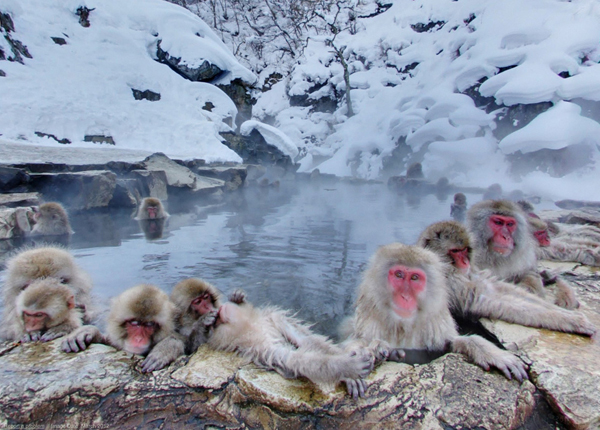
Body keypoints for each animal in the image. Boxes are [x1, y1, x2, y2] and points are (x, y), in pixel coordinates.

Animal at [209, 292, 372, 400]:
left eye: (218, 316)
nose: (219, 312)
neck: (251, 326)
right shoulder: (266, 348)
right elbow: (296, 360)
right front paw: (349, 368)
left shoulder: (273, 320)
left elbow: (305, 341)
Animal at [340, 244, 528, 382]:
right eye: (399, 275)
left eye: (415, 278)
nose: (405, 297)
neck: (402, 325)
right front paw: (358, 360)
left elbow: (449, 344)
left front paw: (491, 353)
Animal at [420, 220, 592, 338]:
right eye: (455, 251)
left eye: (465, 250)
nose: (465, 262)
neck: (448, 267)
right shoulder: (450, 282)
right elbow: (492, 301)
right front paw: (571, 321)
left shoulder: (470, 272)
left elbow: (498, 288)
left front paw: (563, 312)